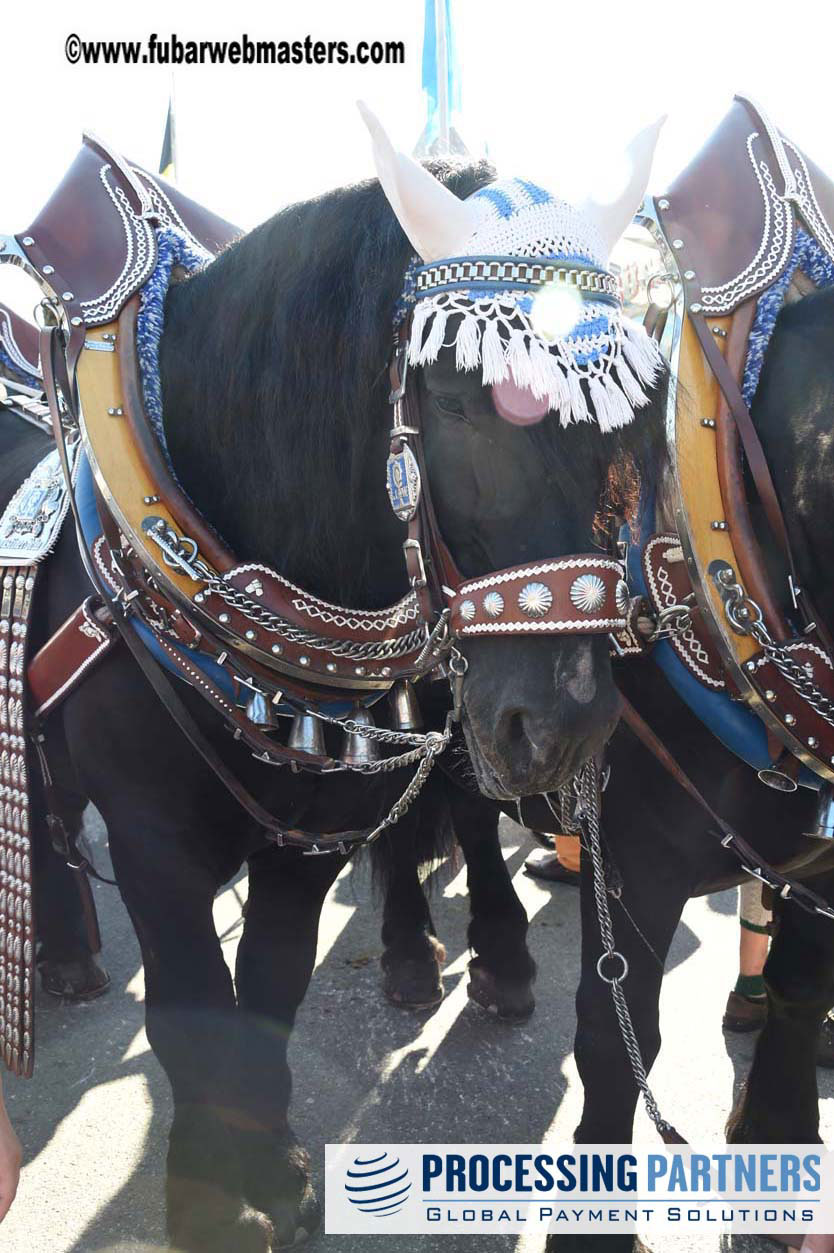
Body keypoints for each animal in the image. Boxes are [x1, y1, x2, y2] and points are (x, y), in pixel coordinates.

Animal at [6, 159, 651, 1253]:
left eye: (619, 424)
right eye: (461, 398)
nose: (568, 723)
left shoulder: (312, 836)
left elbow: (268, 990)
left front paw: (277, 1172)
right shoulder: (151, 839)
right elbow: (191, 1007)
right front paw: (212, 1200)